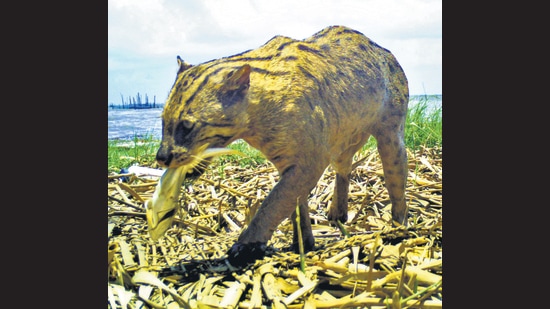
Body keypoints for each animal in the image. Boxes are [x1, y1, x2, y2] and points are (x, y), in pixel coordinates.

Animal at [155, 25, 410, 264]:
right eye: (163, 120)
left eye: (187, 126)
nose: (161, 157)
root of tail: (386, 52)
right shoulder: (289, 163)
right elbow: (295, 204)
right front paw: (302, 243)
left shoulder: (309, 162)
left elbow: (275, 202)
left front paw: (245, 246)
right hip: (344, 138)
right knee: (344, 168)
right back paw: (337, 213)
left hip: (390, 134)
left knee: (396, 178)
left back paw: (399, 226)